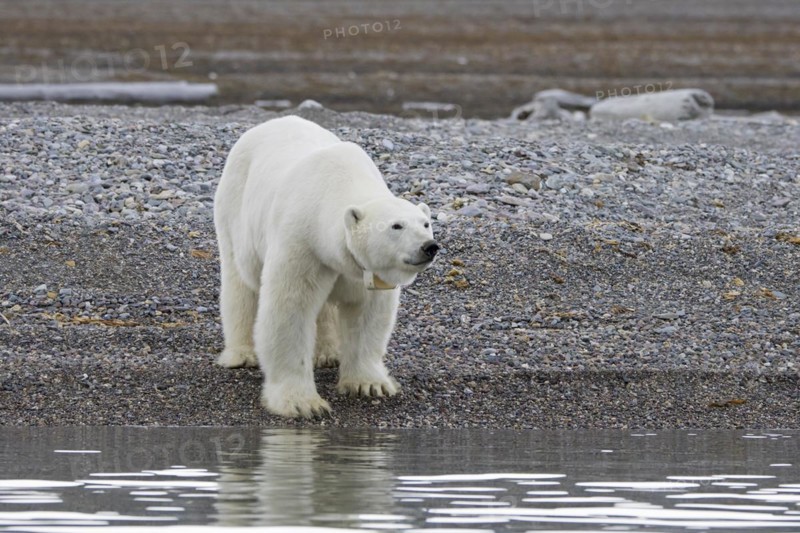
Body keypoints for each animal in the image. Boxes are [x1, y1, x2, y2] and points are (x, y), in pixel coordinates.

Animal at [213, 115, 438, 418]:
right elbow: (289, 309)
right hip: (234, 210)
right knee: (240, 284)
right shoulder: (301, 242)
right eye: (396, 226)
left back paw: (329, 353)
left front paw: (369, 384)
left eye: (425, 223)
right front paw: (302, 403)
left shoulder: (356, 266)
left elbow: (367, 313)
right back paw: (242, 354)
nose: (429, 247)